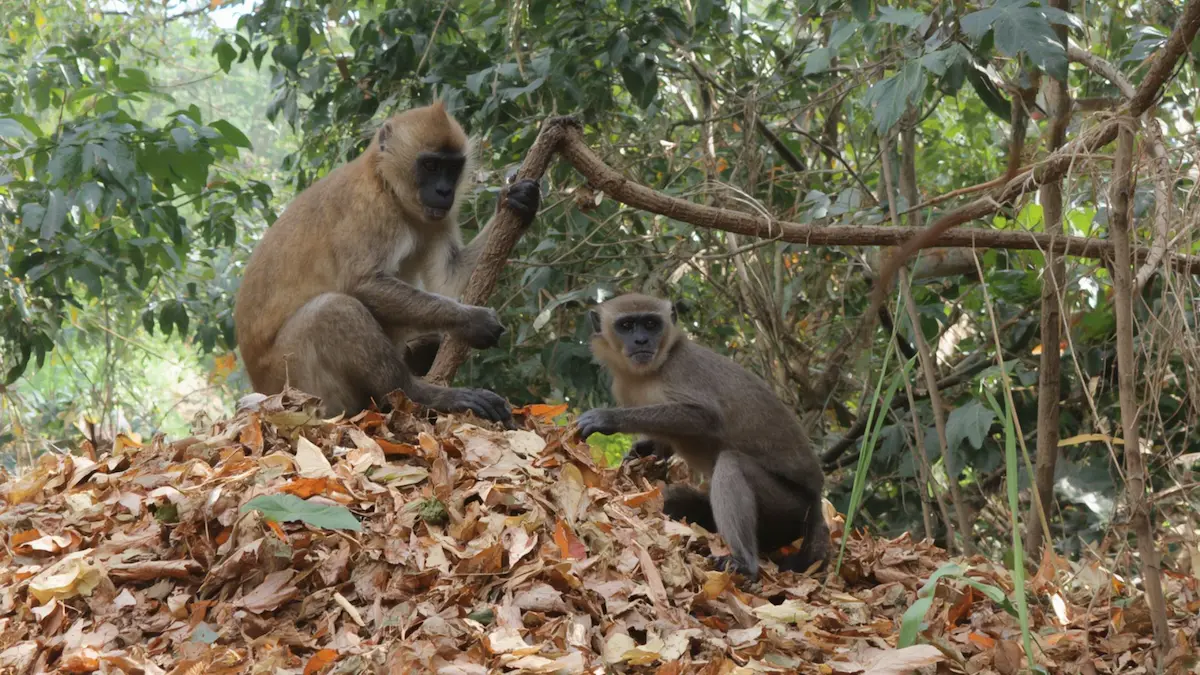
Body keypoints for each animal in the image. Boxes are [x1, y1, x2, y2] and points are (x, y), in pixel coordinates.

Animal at [234, 101, 540, 425]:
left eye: (452, 167)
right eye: (430, 166)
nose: (445, 191)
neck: (388, 185)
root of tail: (263, 390)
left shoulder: (435, 218)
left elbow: (450, 279)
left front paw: (516, 201)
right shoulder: (369, 208)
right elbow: (362, 284)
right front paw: (471, 321)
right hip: (298, 386)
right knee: (332, 309)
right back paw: (426, 396)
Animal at [574, 294, 830, 580]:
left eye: (651, 324)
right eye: (627, 326)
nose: (641, 340)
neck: (650, 372)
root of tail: (815, 501)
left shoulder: (680, 369)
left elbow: (706, 418)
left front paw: (607, 419)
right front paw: (643, 450)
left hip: (790, 507)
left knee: (732, 464)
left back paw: (745, 563)